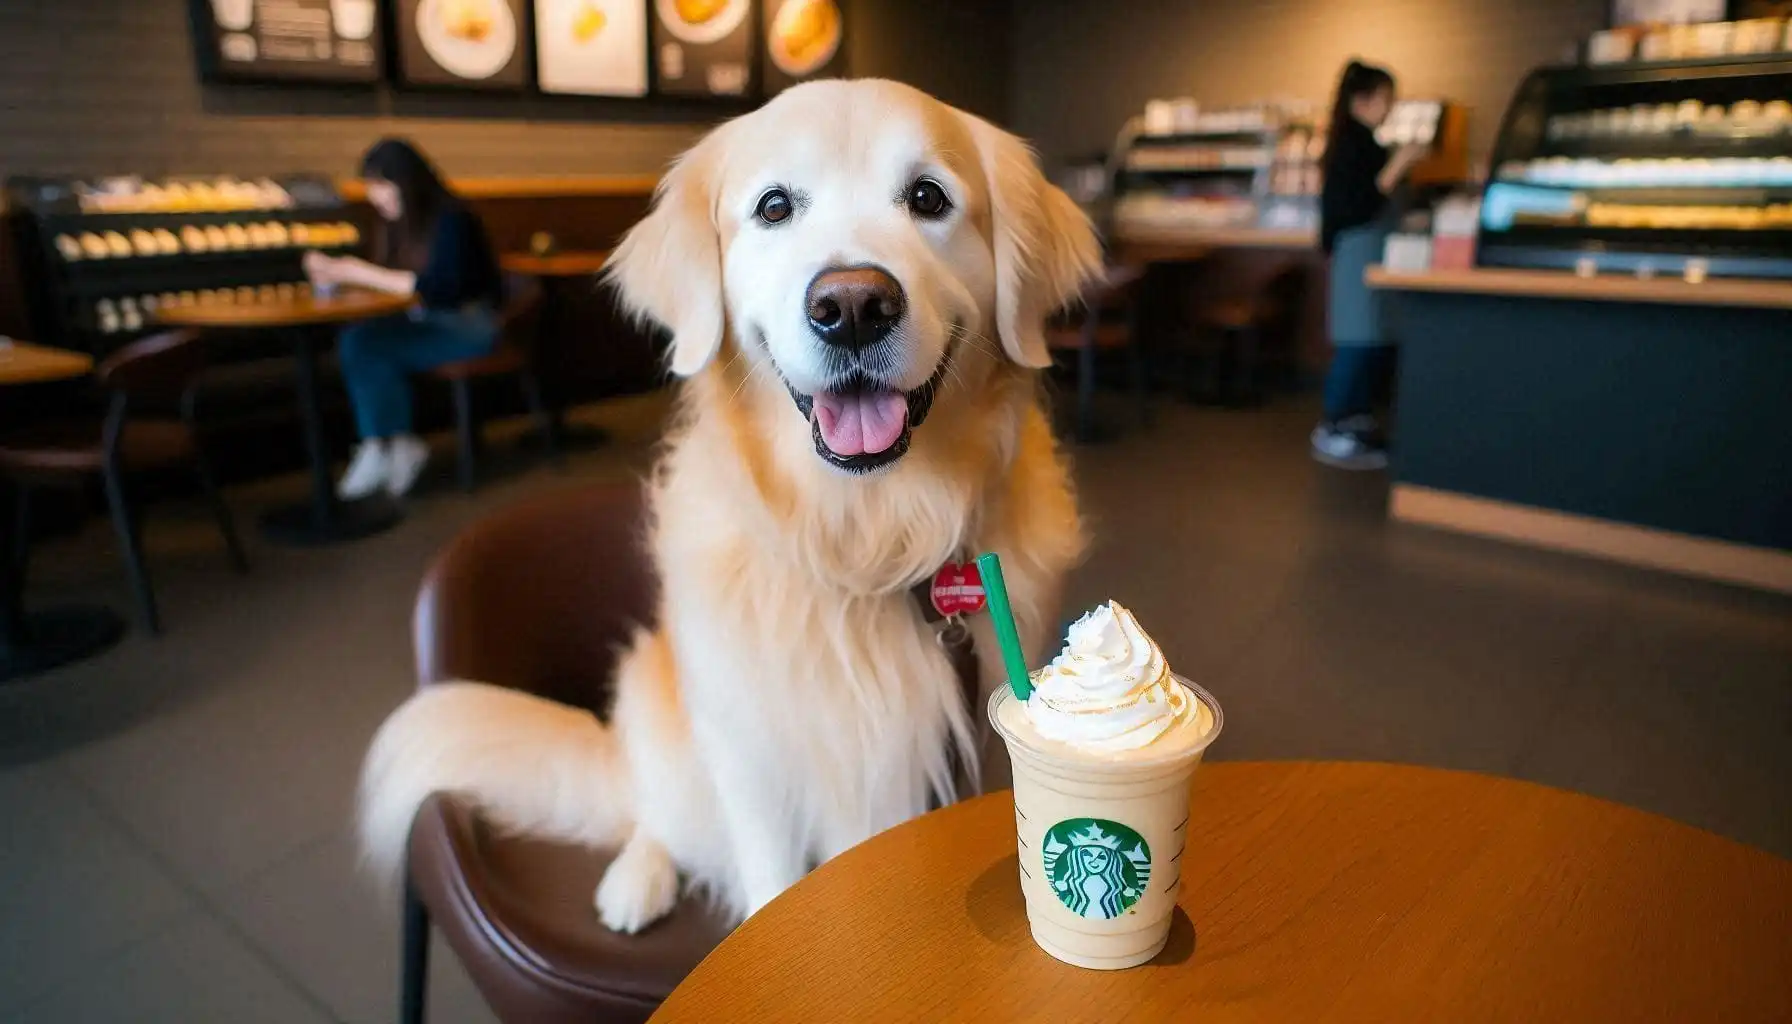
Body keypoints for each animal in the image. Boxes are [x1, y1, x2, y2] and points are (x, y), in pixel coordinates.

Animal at [356, 76, 1096, 932]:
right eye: (774, 207)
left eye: (928, 197)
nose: (852, 306)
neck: (864, 537)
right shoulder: (753, 757)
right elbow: (769, 879)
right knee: (653, 815)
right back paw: (635, 879)